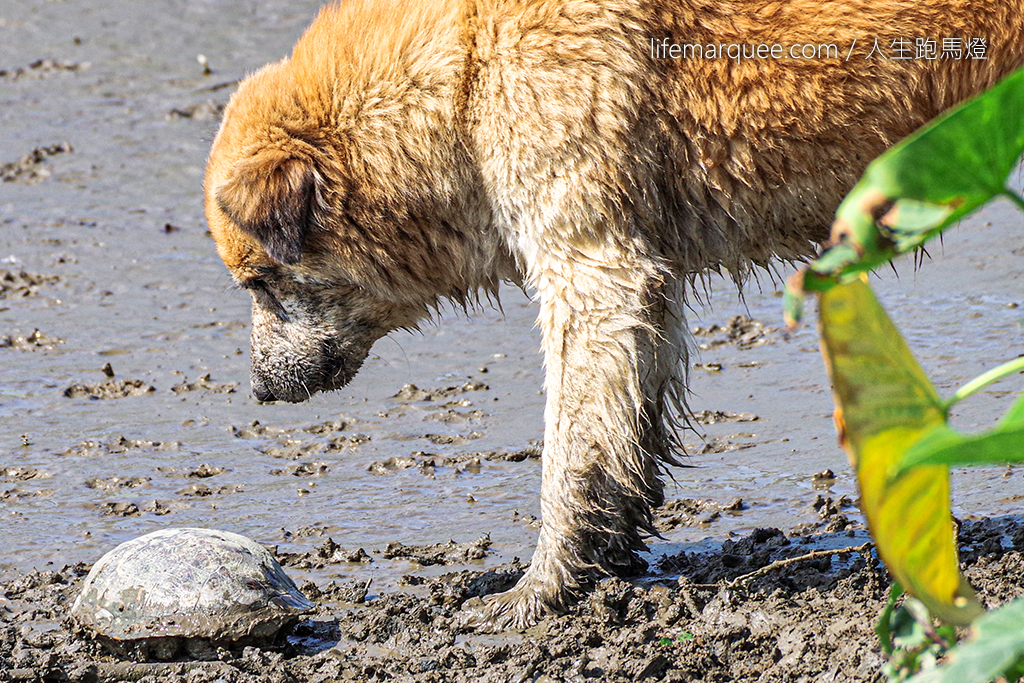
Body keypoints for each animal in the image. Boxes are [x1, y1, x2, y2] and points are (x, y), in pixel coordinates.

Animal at [205, 0, 1024, 630]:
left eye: (260, 282)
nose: (260, 390)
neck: (464, 67)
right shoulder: (638, 277)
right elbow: (625, 424)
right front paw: (609, 552)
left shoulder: (592, 272)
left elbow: (568, 450)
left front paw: (539, 589)